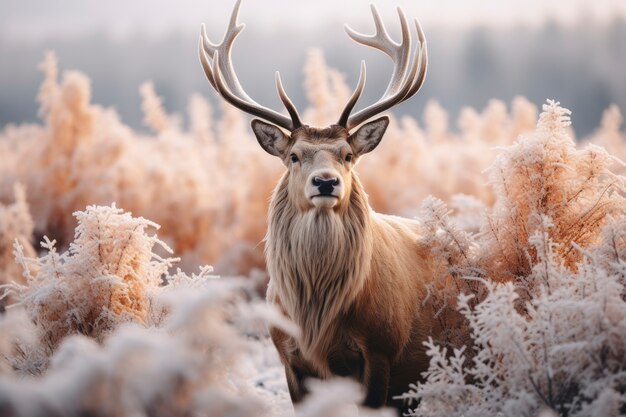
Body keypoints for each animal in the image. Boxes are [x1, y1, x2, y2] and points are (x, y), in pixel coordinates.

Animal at [200, 0, 434, 412]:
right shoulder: (289, 358)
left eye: (348, 155)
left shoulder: (382, 349)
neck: (319, 320)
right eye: (294, 156)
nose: (326, 181)